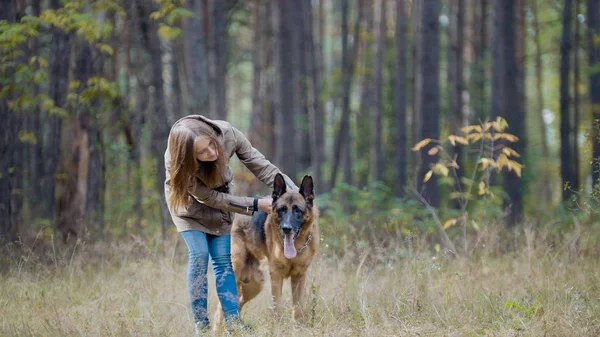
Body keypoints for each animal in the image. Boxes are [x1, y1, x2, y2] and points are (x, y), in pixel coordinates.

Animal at [214, 173, 318, 322]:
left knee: (238, 303)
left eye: (297, 210)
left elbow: (298, 310)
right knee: (221, 310)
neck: (296, 248)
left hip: (255, 284)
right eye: (282, 210)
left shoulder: (299, 277)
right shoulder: (276, 276)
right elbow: (278, 309)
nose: (286, 229)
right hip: (234, 274)